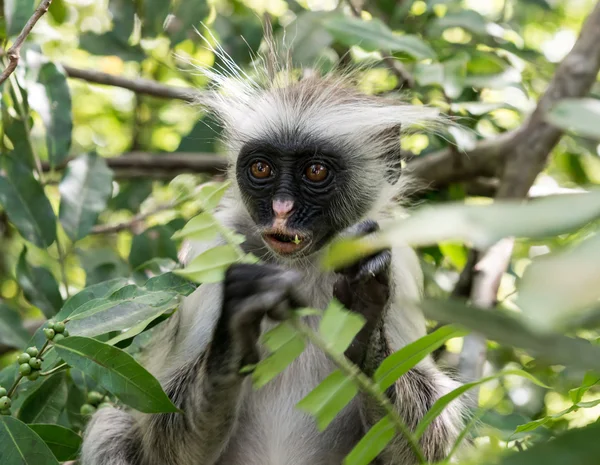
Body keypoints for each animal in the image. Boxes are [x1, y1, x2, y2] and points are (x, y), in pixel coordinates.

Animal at [79, 42, 464, 464]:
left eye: (315, 172)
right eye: (261, 168)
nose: (281, 209)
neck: (302, 266)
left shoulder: (395, 256)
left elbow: (428, 436)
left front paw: (364, 311)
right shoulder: (215, 249)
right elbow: (163, 430)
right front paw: (234, 328)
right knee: (111, 425)